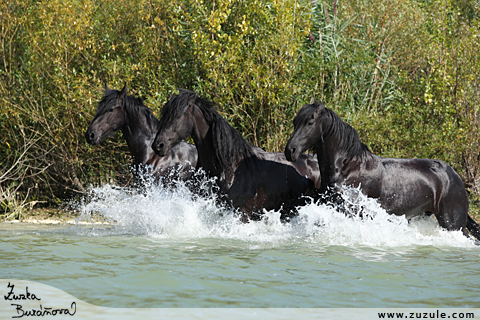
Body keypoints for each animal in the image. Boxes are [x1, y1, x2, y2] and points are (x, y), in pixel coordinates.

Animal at [284, 102, 480, 240]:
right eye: (294, 122)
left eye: (310, 122)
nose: (290, 151)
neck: (347, 168)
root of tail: (455, 177)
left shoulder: (351, 211)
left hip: (452, 223)